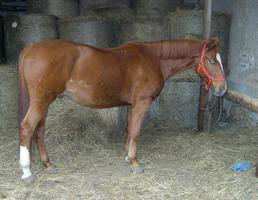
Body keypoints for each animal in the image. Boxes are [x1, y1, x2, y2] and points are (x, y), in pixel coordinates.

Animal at [19, 38, 227, 184]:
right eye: (211, 61)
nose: (222, 89)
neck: (153, 59)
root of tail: (29, 49)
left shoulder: (131, 105)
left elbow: (129, 130)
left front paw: (127, 156)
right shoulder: (142, 103)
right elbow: (135, 132)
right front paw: (135, 163)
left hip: (44, 102)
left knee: (39, 130)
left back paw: (48, 165)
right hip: (41, 101)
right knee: (27, 128)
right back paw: (27, 172)